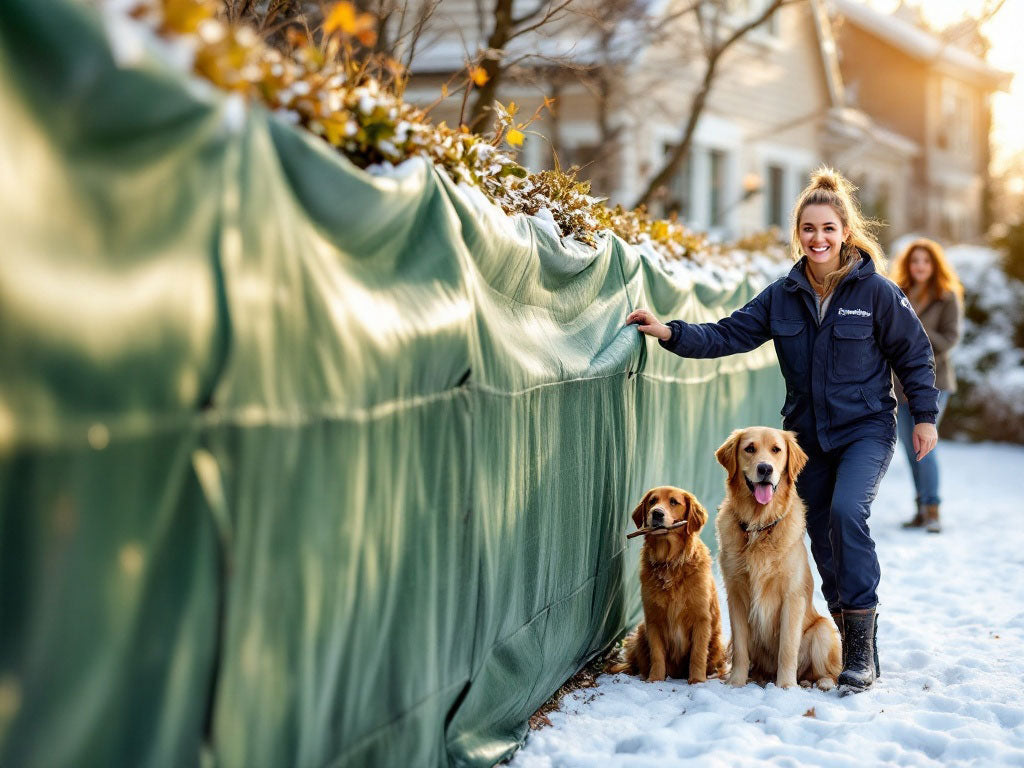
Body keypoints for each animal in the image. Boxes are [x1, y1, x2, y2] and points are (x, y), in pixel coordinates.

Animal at [606, 487, 729, 684]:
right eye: (652, 501)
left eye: (673, 502)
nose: (656, 513)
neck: (670, 563)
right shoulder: (653, 619)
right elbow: (657, 654)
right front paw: (654, 680)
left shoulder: (701, 619)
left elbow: (698, 654)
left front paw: (696, 681)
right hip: (641, 631)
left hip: (717, 643)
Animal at [712, 428, 839, 692]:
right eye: (749, 448)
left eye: (776, 450)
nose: (765, 469)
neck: (759, 526)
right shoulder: (736, 594)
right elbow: (740, 648)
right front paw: (736, 682)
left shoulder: (792, 596)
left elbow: (787, 649)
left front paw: (786, 687)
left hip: (822, 631)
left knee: (828, 670)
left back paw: (817, 681)